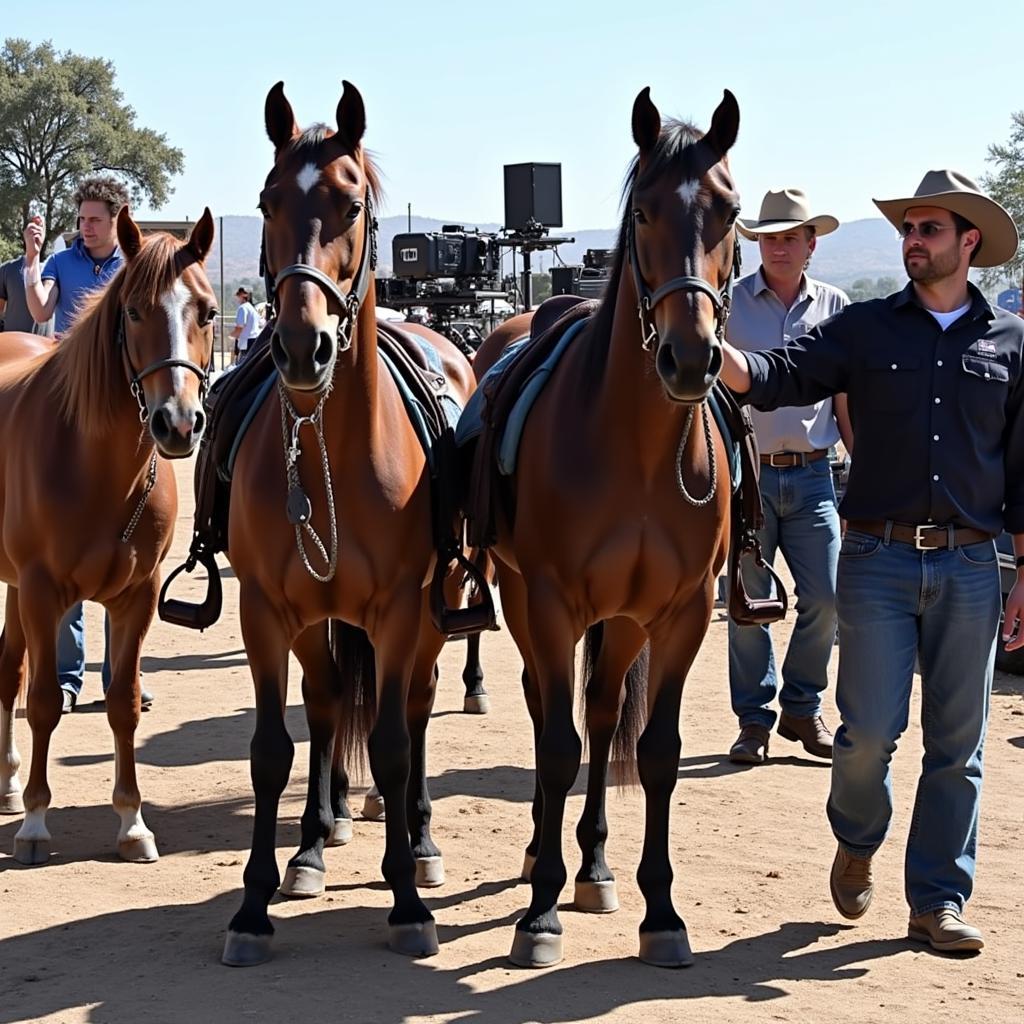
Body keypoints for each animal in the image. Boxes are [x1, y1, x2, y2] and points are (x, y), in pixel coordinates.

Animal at [0, 207, 216, 864]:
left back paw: (8, 784)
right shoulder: (43, 591)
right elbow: (45, 701)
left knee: (7, 671)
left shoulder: (135, 597)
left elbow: (123, 702)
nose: (178, 423)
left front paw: (132, 821)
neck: (94, 465)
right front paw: (36, 824)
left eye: (208, 312)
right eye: (135, 311)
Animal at [220, 81, 475, 966]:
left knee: (418, 708)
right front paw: (254, 903)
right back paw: (312, 841)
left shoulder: (400, 611)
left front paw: (406, 899)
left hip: (433, 616)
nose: (305, 347)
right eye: (267, 201)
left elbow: (396, 746)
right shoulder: (266, 610)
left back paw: (421, 842)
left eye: (352, 203)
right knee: (329, 701)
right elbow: (271, 750)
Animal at [475, 88, 741, 966]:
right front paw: (539, 915)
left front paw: (662, 911)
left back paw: (592, 864)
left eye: (730, 211)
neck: (640, 456)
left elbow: (654, 752)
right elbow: (556, 745)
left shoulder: (680, 612)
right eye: (646, 210)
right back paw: (542, 855)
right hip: (523, 598)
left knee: (596, 711)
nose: (691, 357)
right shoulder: (552, 602)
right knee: (546, 711)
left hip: (621, 622)